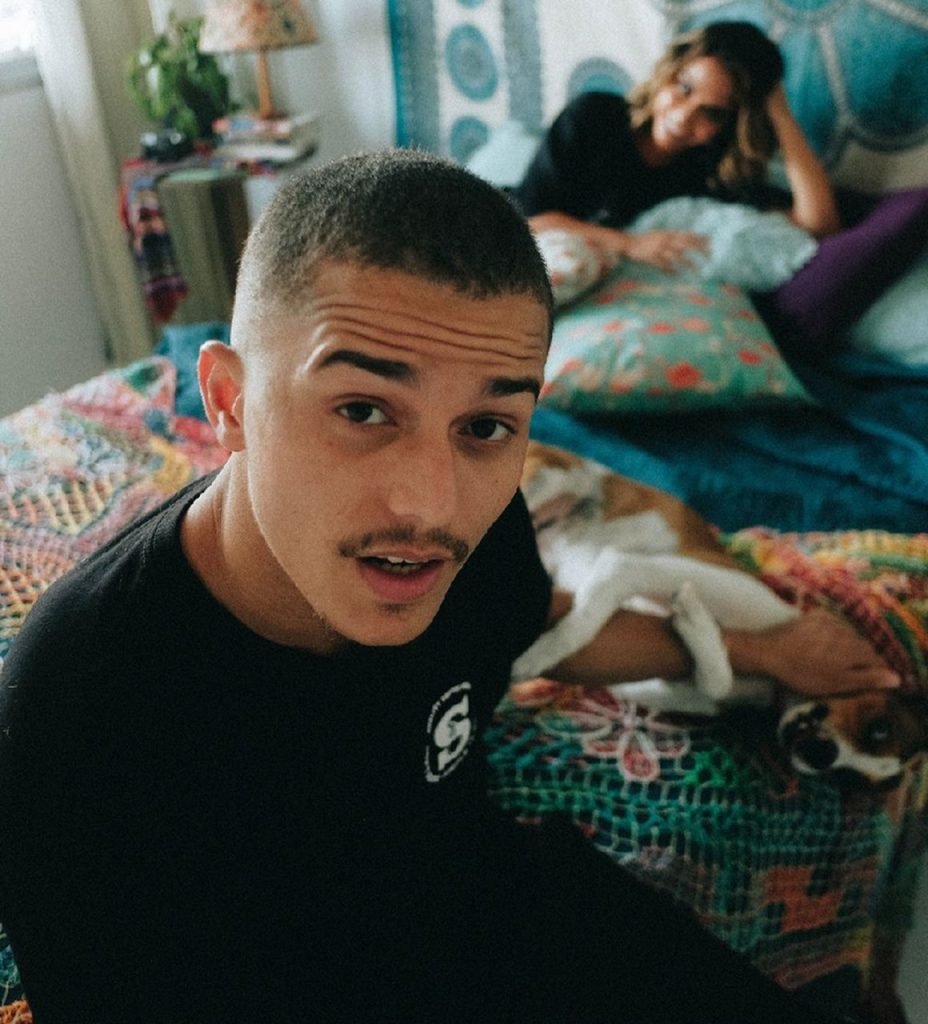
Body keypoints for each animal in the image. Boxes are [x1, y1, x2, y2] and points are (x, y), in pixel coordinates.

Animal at [514, 441, 928, 785]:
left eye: (848, 779)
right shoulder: (641, 567)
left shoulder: (657, 676)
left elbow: (716, 680)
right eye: (880, 727)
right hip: (549, 480)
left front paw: (696, 624)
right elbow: (584, 618)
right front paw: (540, 655)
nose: (820, 756)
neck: (772, 683)